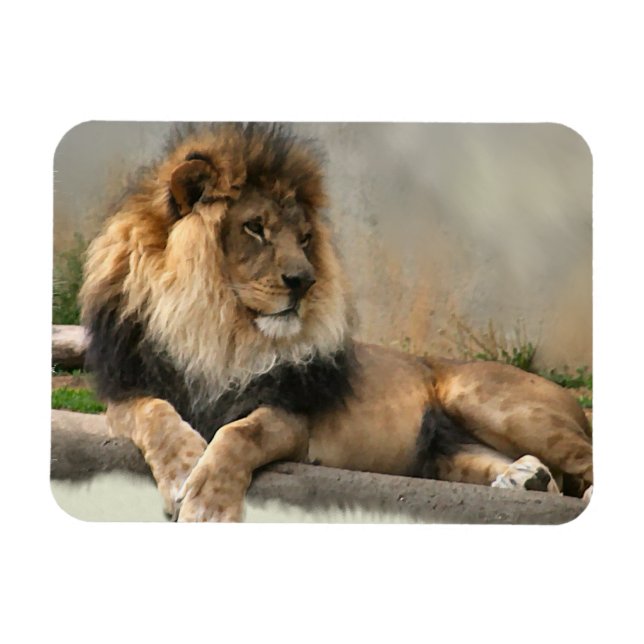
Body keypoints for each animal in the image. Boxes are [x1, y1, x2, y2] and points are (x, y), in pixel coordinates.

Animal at [79, 123, 593, 521]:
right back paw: (524, 479)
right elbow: (154, 415)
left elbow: (241, 433)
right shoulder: (127, 390)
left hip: (484, 399)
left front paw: (208, 503)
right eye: (255, 227)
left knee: (585, 461)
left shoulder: (291, 416)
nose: (304, 281)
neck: (214, 330)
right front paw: (185, 467)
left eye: (305, 238)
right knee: (541, 477)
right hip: (448, 455)